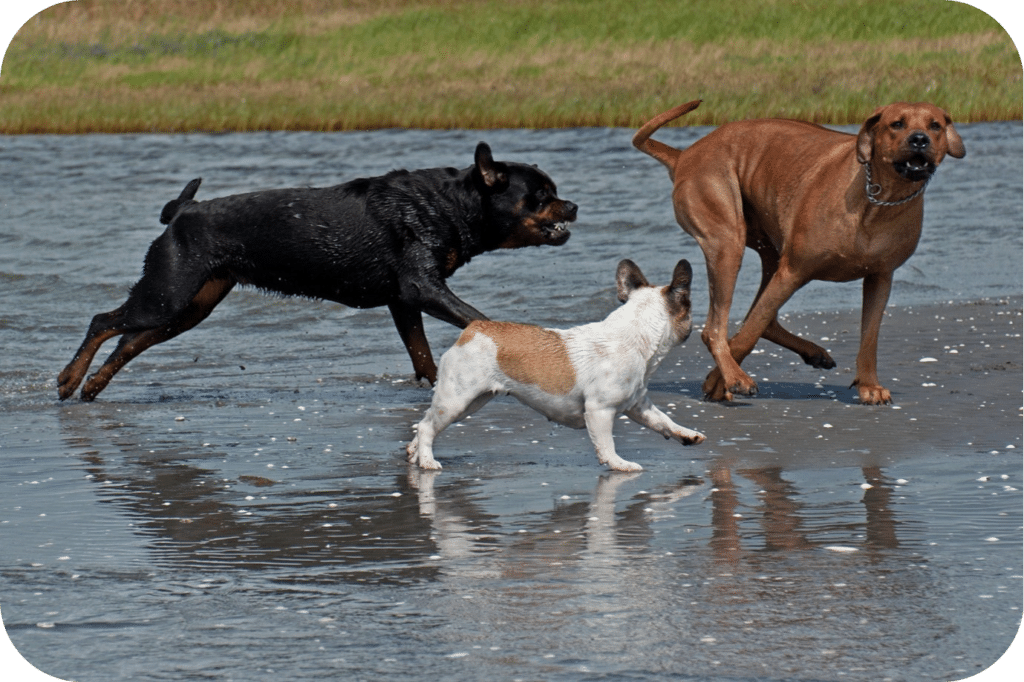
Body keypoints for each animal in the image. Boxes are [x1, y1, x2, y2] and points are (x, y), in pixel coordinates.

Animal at [58, 143, 577, 399]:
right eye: (540, 196)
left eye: (555, 191)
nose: (572, 204)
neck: (451, 204)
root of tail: (184, 211)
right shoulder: (421, 287)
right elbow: (477, 318)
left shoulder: (403, 301)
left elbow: (422, 354)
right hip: (168, 292)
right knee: (104, 322)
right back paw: (68, 378)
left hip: (189, 306)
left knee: (129, 341)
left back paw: (93, 386)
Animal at [405, 258, 704, 471]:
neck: (636, 333)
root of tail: (474, 328)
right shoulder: (599, 411)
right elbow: (606, 443)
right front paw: (619, 464)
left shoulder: (638, 406)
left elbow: (662, 420)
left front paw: (687, 434)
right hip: (456, 400)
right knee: (429, 426)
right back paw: (428, 462)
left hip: (472, 401)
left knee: (424, 422)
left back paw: (415, 453)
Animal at [634, 98, 962, 401]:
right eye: (897, 124)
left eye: (935, 125)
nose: (919, 139)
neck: (879, 200)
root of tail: (685, 155)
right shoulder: (793, 271)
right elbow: (747, 334)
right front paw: (719, 381)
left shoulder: (881, 277)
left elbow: (870, 337)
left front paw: (869, 386)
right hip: (728, 241)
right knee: (717, 328)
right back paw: (734, 374)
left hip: (769, 248)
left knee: (765, 319)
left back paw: (812, 352)